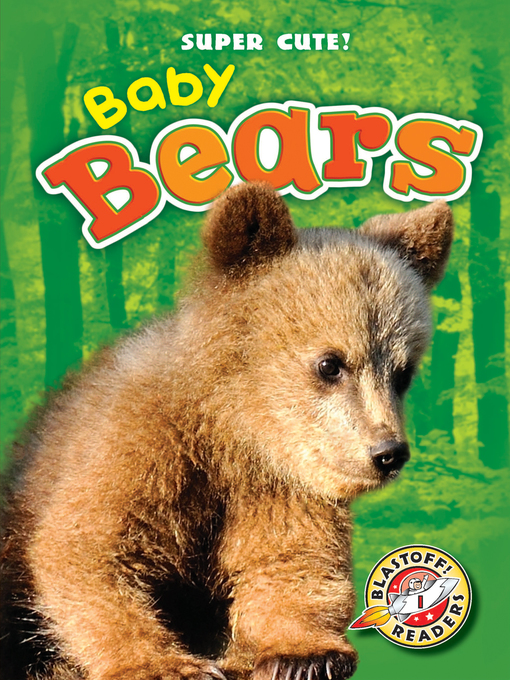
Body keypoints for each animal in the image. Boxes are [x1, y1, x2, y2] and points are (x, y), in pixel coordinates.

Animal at [0, 182, 453, 680]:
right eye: (330, 363)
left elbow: (290, 560)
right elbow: (87, 551)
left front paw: (302, 655)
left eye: (403, 372)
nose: (388, 452)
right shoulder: (134, 448)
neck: (232, 427)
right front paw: (168, 664)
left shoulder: (278, 484)